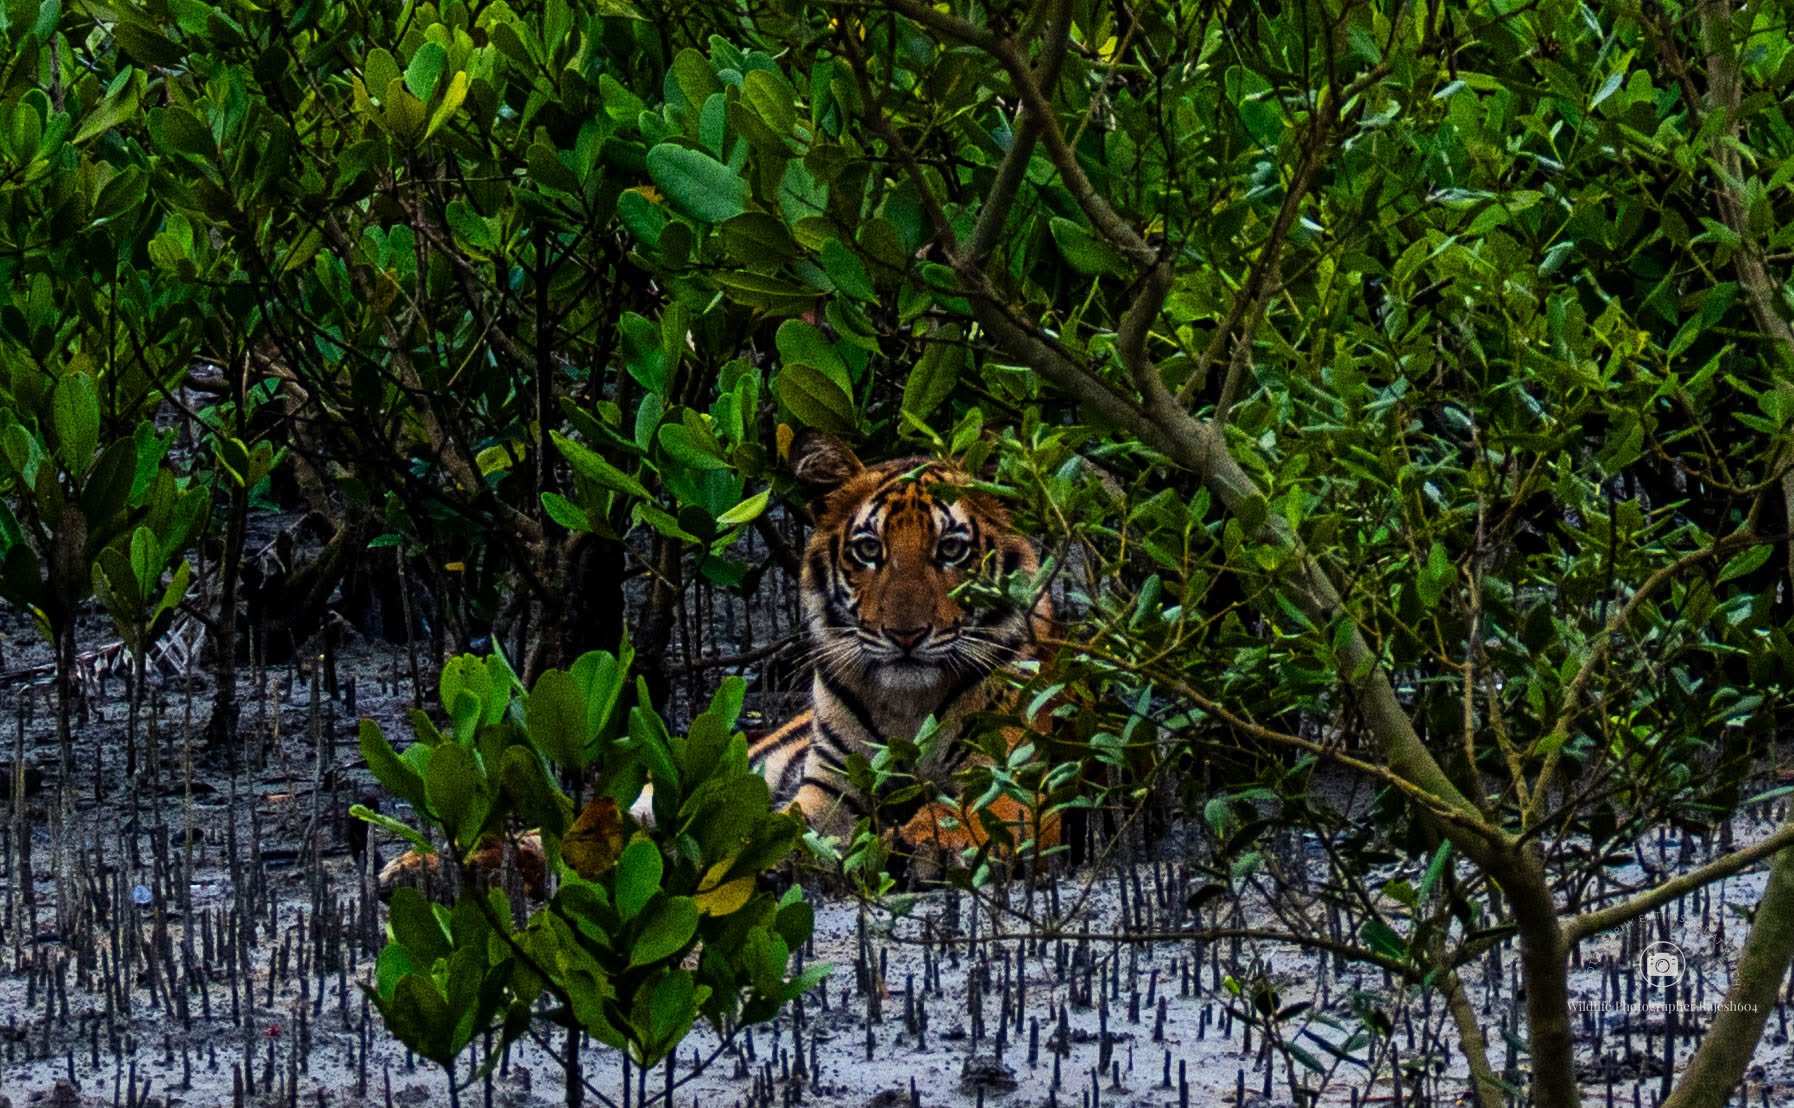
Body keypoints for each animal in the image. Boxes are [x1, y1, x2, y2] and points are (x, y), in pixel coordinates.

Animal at [749, 431, 1060, 869]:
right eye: (868, 550)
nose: (905, 635)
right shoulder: (830, 785)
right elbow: (789, 824)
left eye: (951, 549)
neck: (906, 707)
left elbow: (961, 813)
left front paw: (920, 844)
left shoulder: (1010, 776)